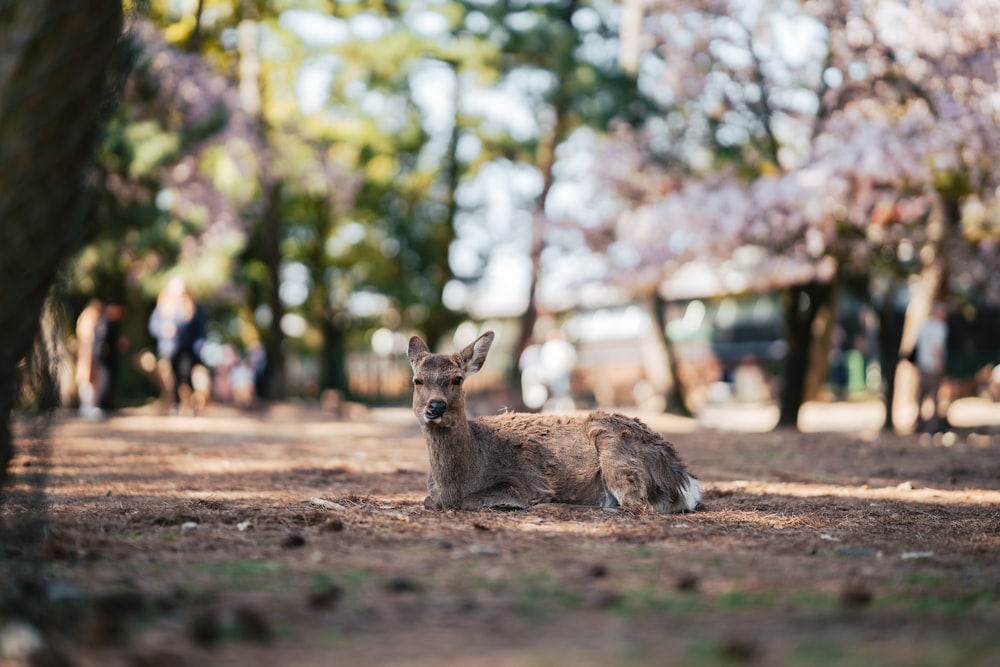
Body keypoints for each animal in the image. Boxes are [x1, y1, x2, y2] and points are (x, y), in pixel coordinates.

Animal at [406, 332, 704, 516]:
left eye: (457, 379)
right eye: (417, 380)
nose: (436, 407)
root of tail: (684, 479)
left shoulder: (527, 480)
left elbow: (471, 500)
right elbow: (428, 501)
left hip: (618, 454)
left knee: (638, 505)